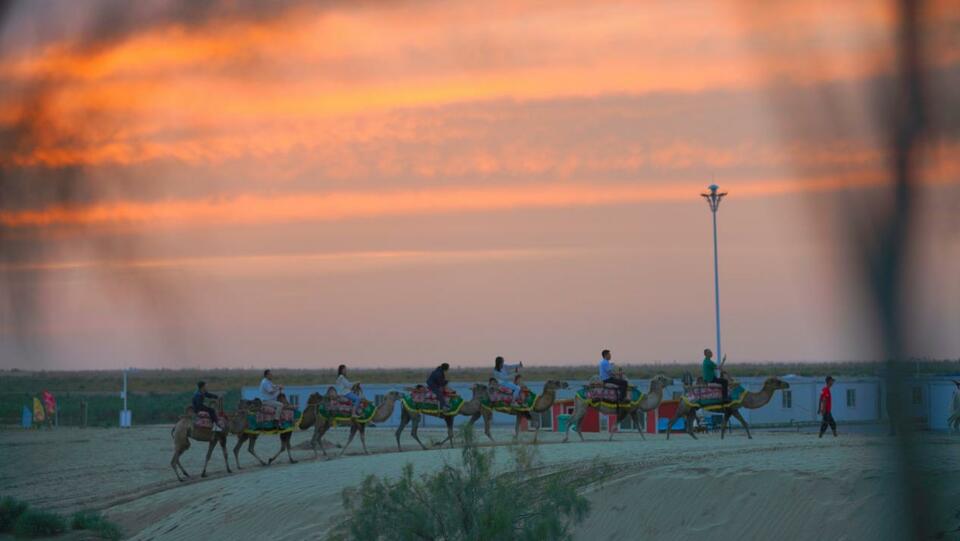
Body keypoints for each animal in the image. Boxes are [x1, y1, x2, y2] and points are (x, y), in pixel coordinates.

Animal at [664, 376, 792, 438]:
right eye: (777, 382)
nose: (787, 384)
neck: (745, 397)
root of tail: (683, 395)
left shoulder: (728, 411)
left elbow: (723, 426)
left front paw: (722, 438)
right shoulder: (733, 409)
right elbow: (743, 422)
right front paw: (750, 437)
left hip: (692, 409)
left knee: (690, 426)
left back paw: (696, 438)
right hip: (684, 407)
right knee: (672, 421)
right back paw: (668, 438)